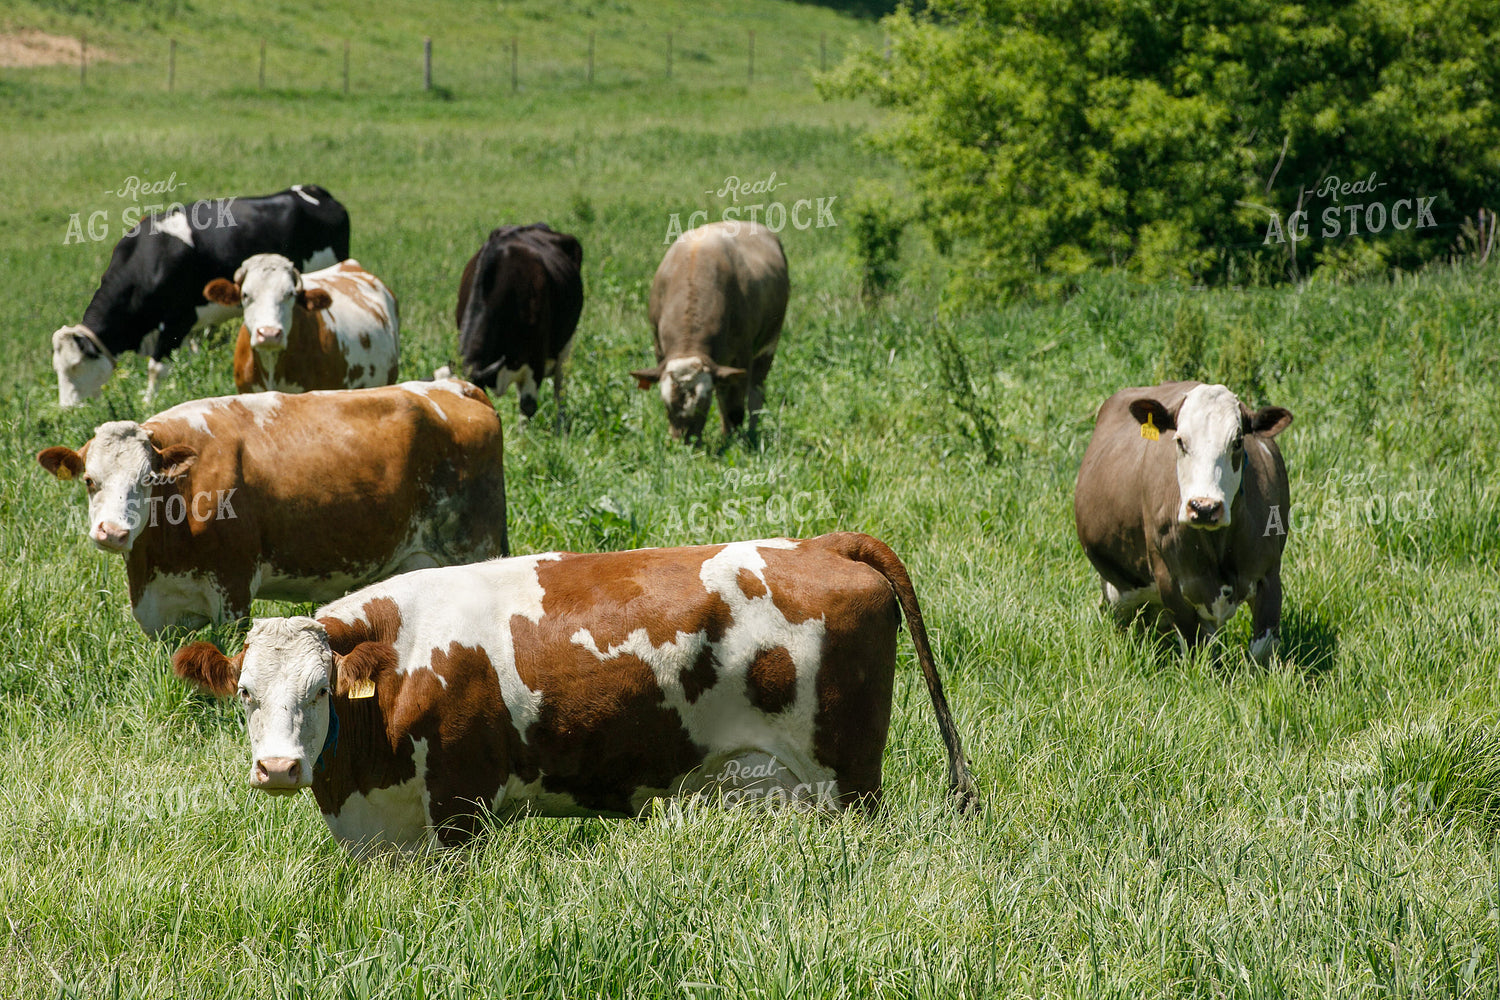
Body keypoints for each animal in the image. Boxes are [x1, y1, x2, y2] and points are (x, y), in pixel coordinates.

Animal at [37, 380, 508, 636]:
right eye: (89, 480)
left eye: (147, 480)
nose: (112, 532)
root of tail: (453, 388)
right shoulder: (160, 610)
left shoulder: (232, 589)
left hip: (476, 547)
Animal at [51, 184, 350, 407]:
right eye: (57, 368)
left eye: (76, 366)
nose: (69, 410)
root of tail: (315, 192)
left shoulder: (177, 319)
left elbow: (156, 368)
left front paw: (148, 401)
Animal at [170, 532, 979, 856]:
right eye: (245, 693)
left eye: (321, 691)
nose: (279, 769)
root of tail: (819, 543)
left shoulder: (461, 808)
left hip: (849, 781)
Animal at [632, 220, 789, 441]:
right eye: (667, 406)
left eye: (703, 406)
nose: (684, 442)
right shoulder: (659, 350)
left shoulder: (742, 357)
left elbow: (734, 409)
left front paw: (734, 442)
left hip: (768, 346)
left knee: (755, 394)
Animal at [1074, 381, 1293, 661]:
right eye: (1180, 441)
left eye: (1237, 441)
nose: (1204, 507)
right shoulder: (1170, 580)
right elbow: (1194, 646)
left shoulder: (1268, 572)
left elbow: (1261, 649)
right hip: (1118, 590)